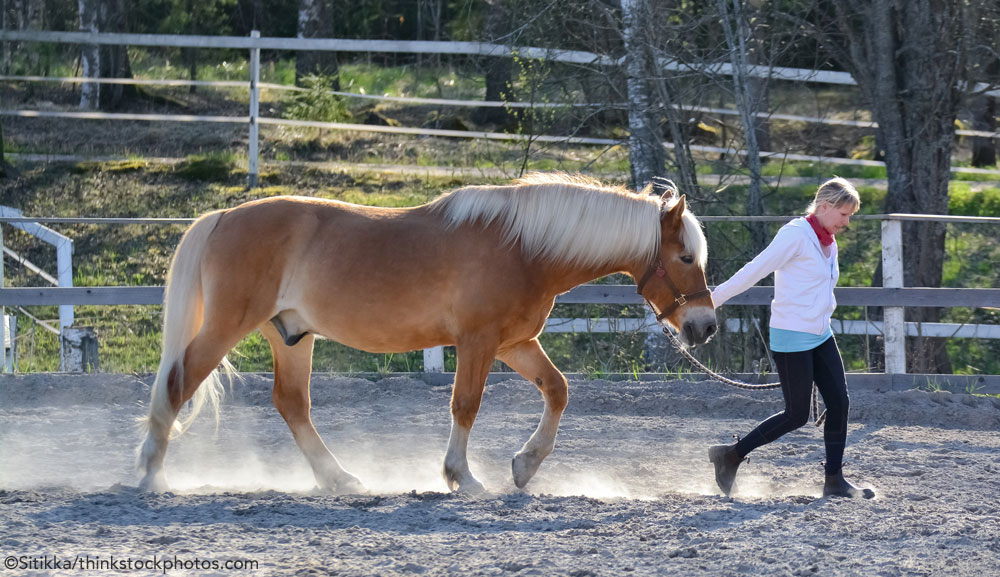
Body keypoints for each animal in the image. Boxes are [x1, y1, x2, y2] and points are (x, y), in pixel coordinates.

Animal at [136, 172, 717, 494]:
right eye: (686, 257)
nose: (706, 326)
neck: (525, 248)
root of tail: (223, 216)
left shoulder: (514, 343)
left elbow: (557, 389)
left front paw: (524, 467)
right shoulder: (478, 342)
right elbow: (465, 405)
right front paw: (463, 476)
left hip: (290, 336)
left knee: (291, 404)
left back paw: (339, 479)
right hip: (227, 327)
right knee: (178, 382)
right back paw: (150, 473)